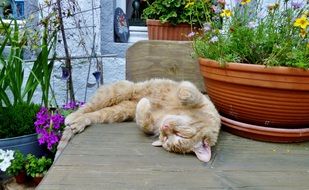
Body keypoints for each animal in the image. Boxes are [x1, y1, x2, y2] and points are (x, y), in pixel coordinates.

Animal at [56, 78, 220, 162]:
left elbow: (143, 122)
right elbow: (188, 90)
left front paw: (145, 104)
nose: (165, 127)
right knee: (88, 106)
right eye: (180, 134)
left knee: (93, 115)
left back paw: (77, 123)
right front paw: (181, 93)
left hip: (116, 112)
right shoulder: (201, 98)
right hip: (118, 91)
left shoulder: (150, 124)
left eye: (168, 138)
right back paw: (71, 117)